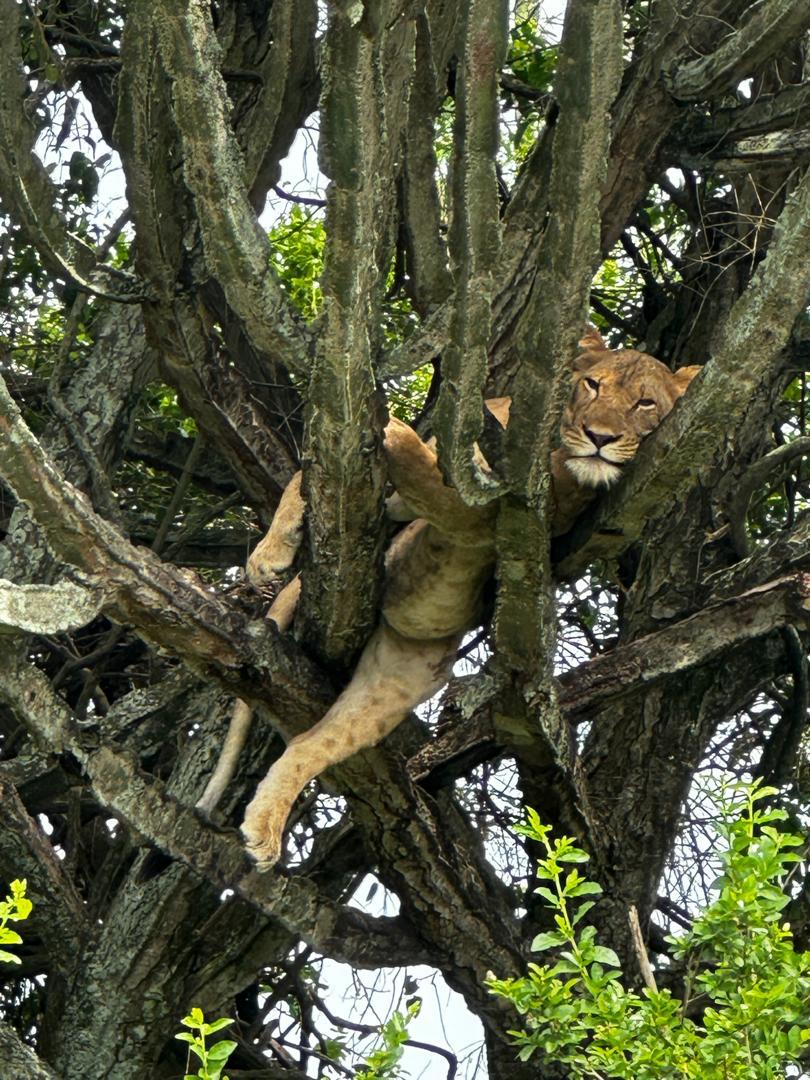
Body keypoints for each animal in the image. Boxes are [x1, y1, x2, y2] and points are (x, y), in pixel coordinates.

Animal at [196, 328, 700, 868]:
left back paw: (265, 827)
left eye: (645, 403)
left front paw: (397, 436)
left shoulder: (515, 514)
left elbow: (443, 490)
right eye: (593, 385)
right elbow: (303, 481)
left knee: (313, 742)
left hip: (389, 688)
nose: (600, 437)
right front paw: (269, 553)